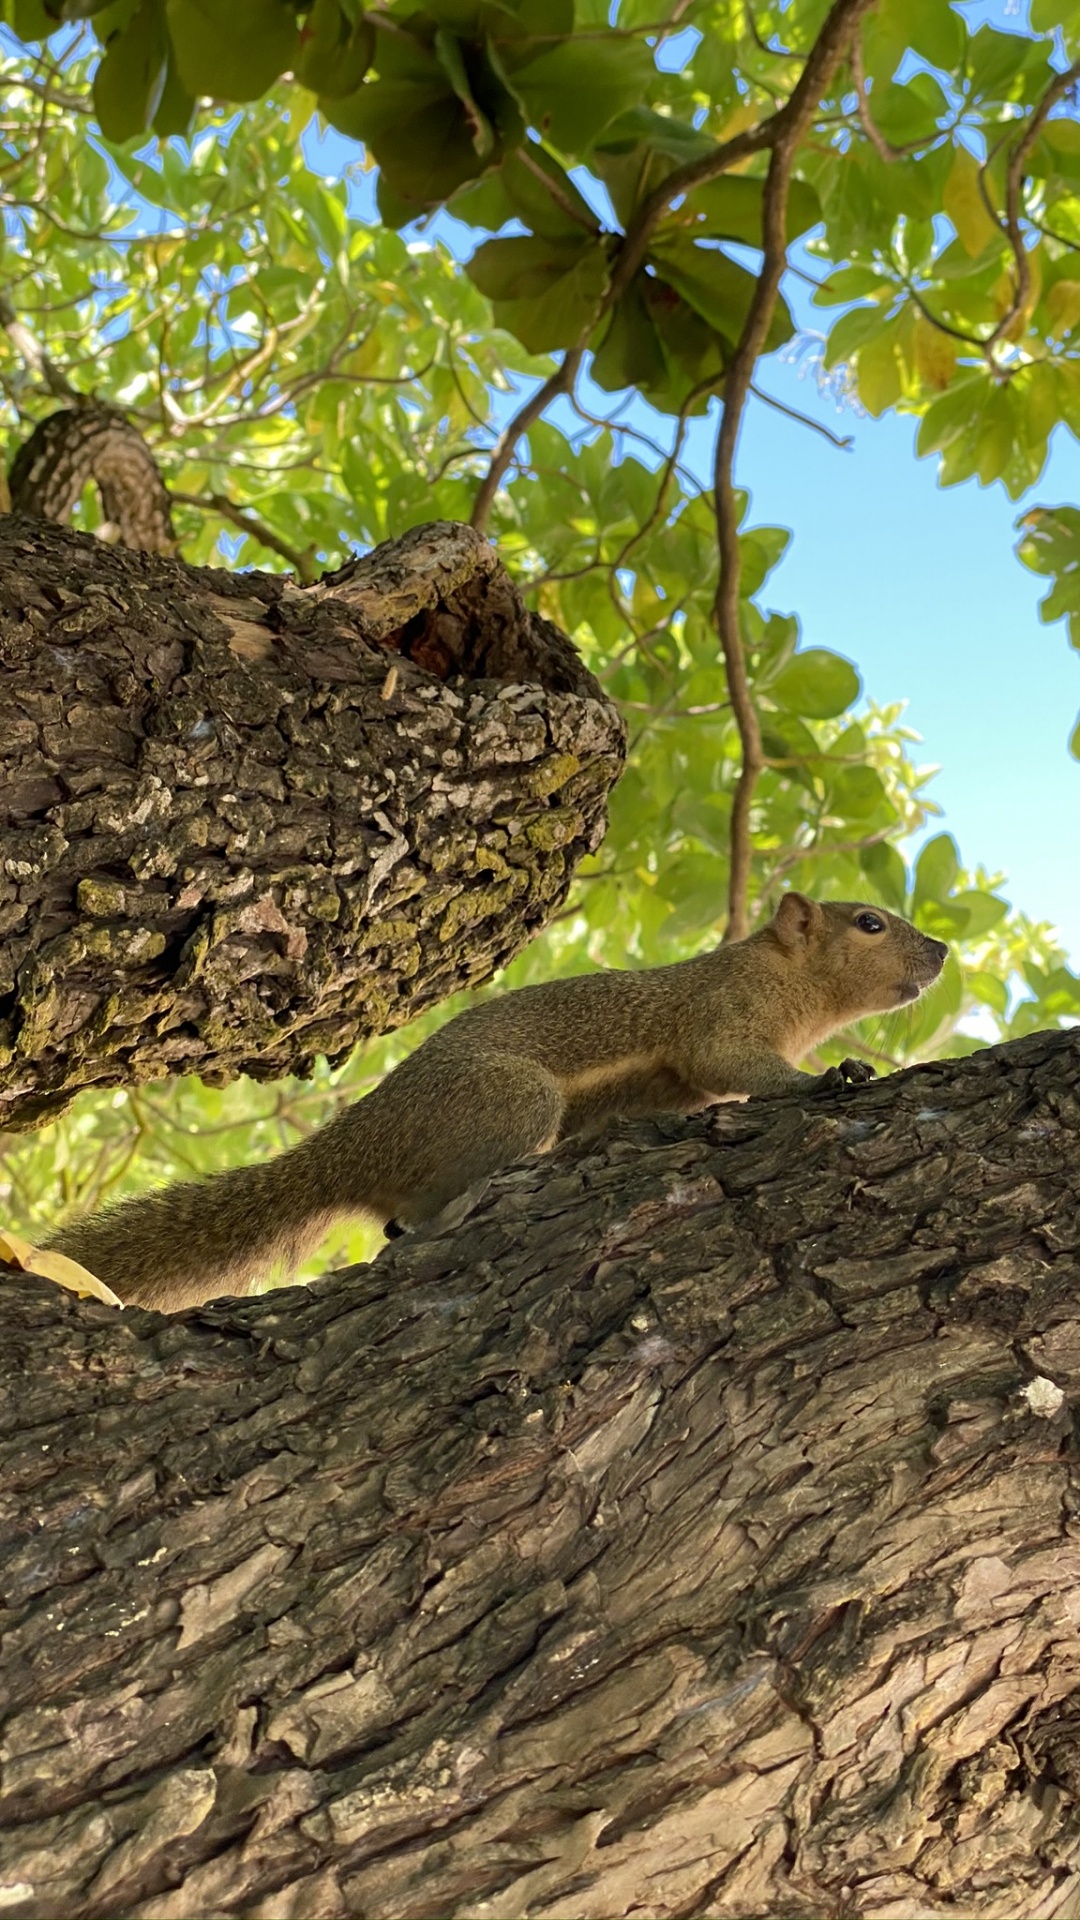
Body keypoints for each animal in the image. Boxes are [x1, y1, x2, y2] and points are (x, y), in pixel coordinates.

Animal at [46, 890, 941, 1313]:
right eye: (868, 922)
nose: (937, 951)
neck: (791, 986)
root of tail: (351, 1145)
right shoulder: (719, 1013)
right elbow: (732, 1061)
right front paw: (830, 1078)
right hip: (509, 1101)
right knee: (417, 1221)